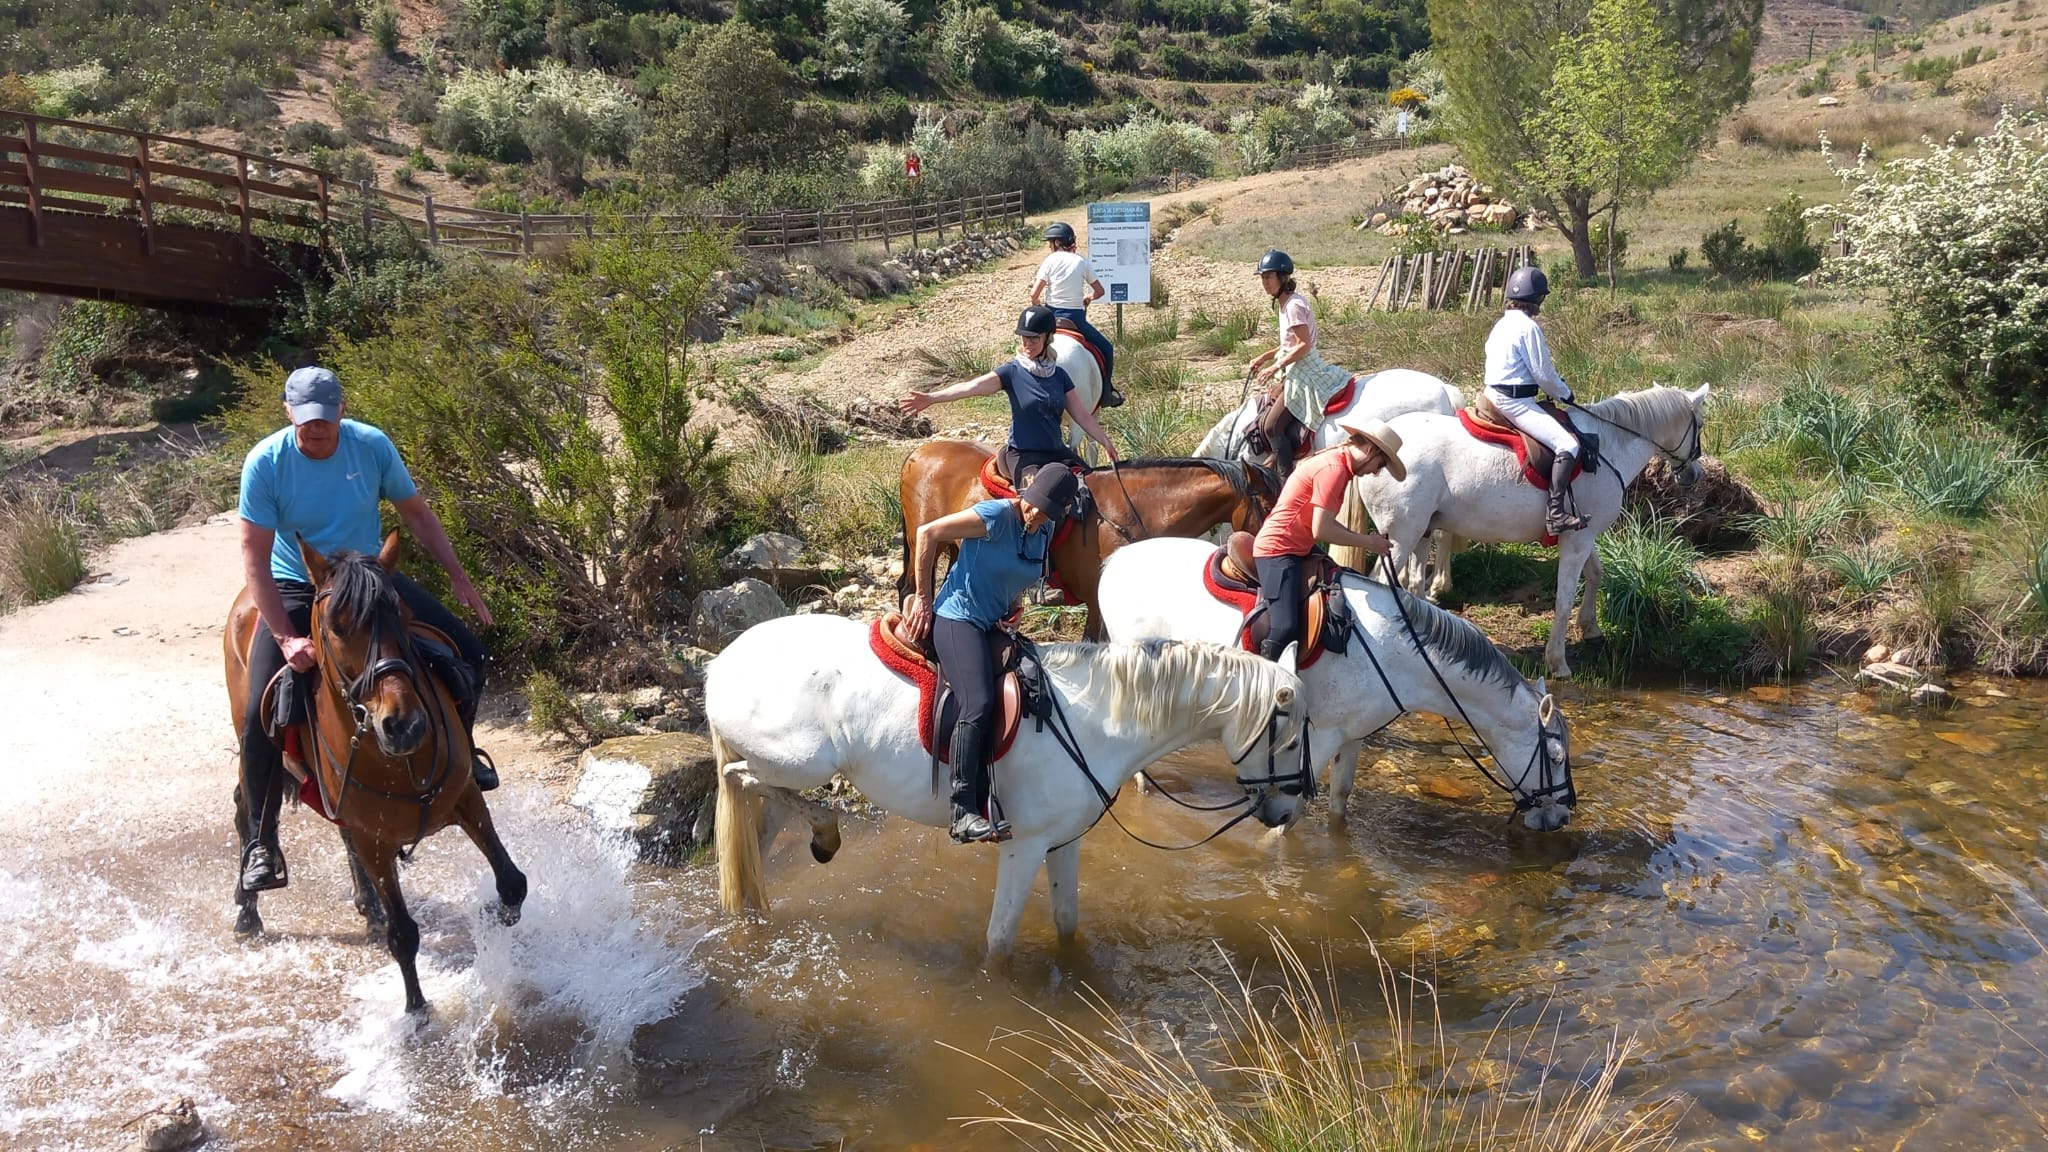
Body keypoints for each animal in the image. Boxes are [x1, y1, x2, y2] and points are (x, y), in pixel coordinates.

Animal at [223, 535, 527, 1014]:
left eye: (401, 613)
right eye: (337, 626)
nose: (405, 725)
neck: (397, 763)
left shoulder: (466, 798)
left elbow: (512, 883)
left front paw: (493, 918)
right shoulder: (376, 841)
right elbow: (403, 936)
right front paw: (417, 1014)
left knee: (332, 830)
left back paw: (368, 906)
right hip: (251, 733)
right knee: (249, 807)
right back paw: (248, 902)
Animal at [707, 614, 1309, 960]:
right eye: (1298, 730)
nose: (1288, 811)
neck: (1094, 722)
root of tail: (722, 662)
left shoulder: (1065, 841)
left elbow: (1067, 922)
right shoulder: (1024, 845)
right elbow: (998, 942)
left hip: (783, 770)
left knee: (755, 822)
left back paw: (755, 909)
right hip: (797, 761)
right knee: (742, 781)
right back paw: (826, 835)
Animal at [897, 445, 1280, 638]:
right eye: (1266, 506)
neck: (1135, 510)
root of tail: (919, 452)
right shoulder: (1098, 605)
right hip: (924, 544)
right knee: (911, 589)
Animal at [1096, 536, 1577, 832]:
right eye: (1554, 757)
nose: (1562, 817)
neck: (1393, 652)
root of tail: (1115, 561)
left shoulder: (1353, 735)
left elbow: (1339, 800)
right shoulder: (1319, 737)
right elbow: (1291, 813)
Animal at [1356, 384, 1709, 678]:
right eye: (1701, 425)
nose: (1693, 474)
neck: (1606, 447)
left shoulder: (1583, 533)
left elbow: (1596, 574)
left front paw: (1591, 629)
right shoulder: (1577, 540)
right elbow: (1564, 598)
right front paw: (1558, 661)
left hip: (1420, 533)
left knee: (1412, 586)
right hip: (1400, 538)